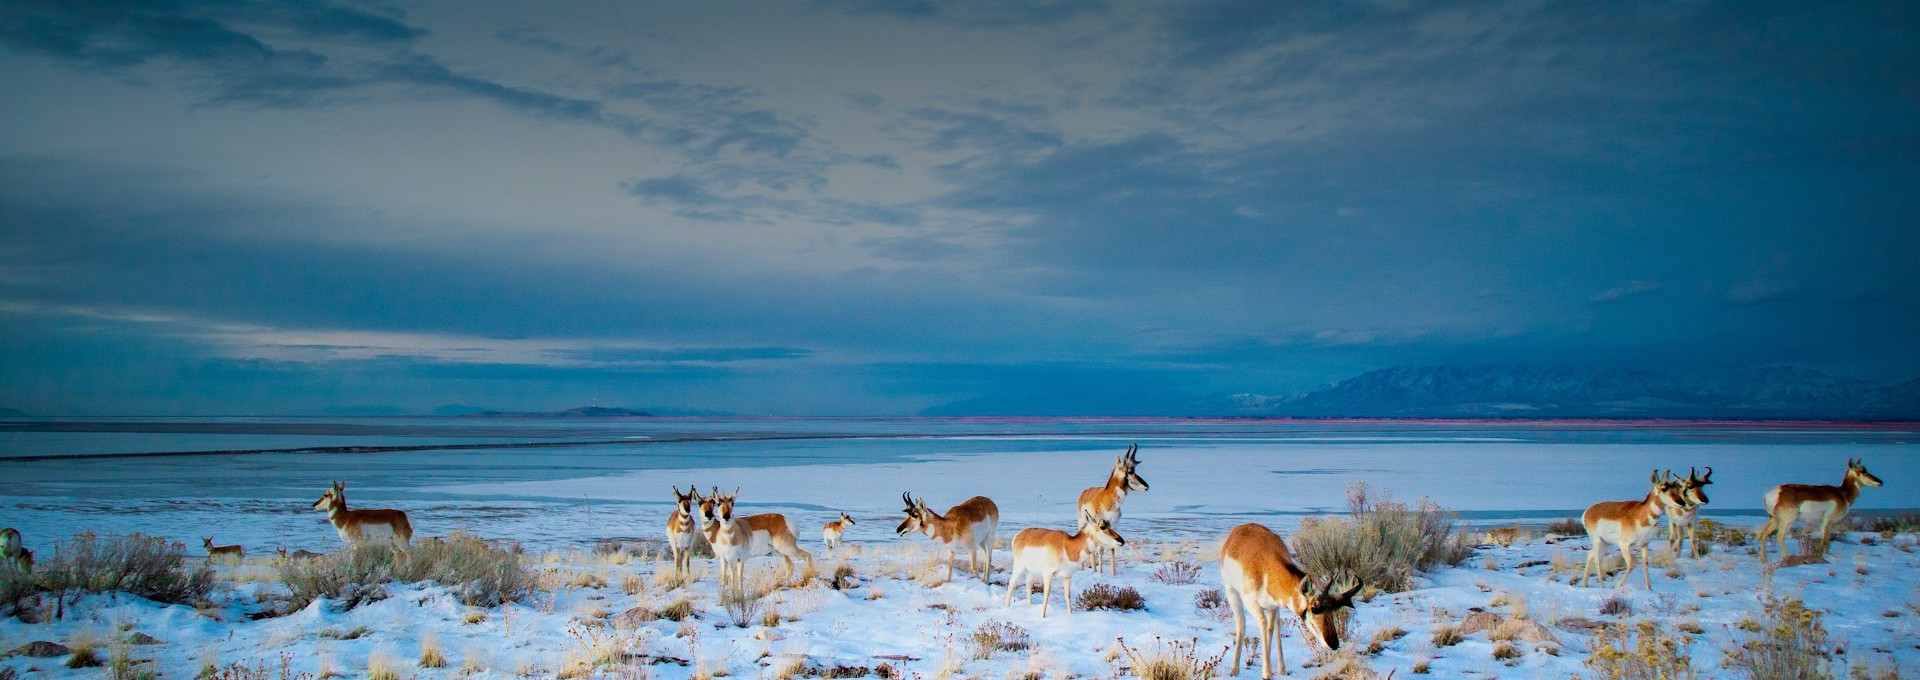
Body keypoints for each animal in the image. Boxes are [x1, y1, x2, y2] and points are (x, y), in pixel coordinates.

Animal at [1075, 443, 1144, 576]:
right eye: (1131, 471)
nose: (1146, 486)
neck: (1106, 499)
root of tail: (1085, 491)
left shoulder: (1113, 525)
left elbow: (1112, 548)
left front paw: (1113, 573)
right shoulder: (1099, 524)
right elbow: (1100, 548)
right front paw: (1098, 571)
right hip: (1083, 522)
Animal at [1221, 522, 1359, 676]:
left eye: (1333, 611)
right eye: (1314, 609)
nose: (1334, 644)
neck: (1267, 569)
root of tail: (1242, 527)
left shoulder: (1273, 606)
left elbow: (1270, 629)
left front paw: (1271, 671)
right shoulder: (1251, 603)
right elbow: (1263, 624)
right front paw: (1266, 674)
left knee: (1275, 626)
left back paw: (1282, 668)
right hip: (1232, 593)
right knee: (1241, 624)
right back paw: (1234, 670)